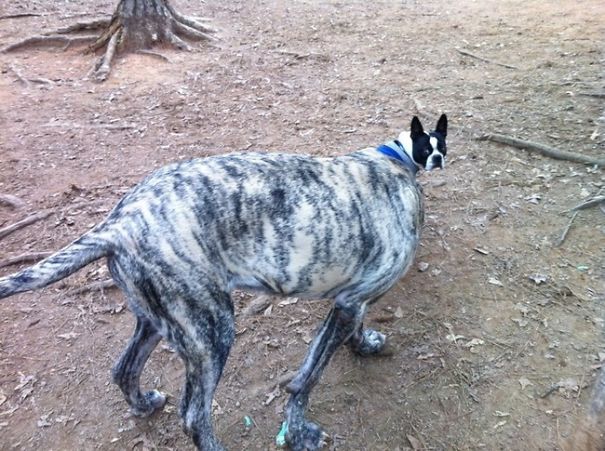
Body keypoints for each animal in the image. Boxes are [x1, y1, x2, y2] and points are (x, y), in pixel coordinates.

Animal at [0, 115, 444, 450]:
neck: (395, 162)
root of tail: (119, 224)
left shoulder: (350, 301)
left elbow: (353, 329)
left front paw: (364, 344)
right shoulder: (348, 306)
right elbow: (305, 380)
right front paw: (299, 433)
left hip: (160, 321)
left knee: (123, 369)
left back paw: (143, 404)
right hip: (212, 331)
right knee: (194, 417)